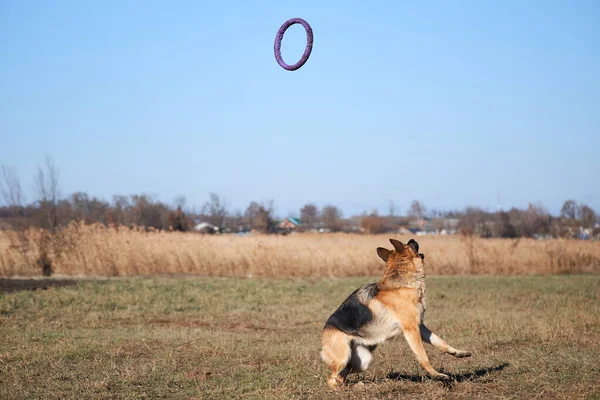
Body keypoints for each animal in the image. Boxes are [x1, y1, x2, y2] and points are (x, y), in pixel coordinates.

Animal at [322, 239, 472, 390]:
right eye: (409, 245)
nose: (412, 239)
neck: (402, 282)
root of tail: (323, 333)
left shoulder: (420, 327)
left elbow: (440, 342)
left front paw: (458, 352)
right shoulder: (411, 329)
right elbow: (423, 357)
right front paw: (437, 375)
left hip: (362, 361)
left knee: (341, 376)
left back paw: (356, 386)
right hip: (344, 357)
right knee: (331, 379)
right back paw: (339, 389)